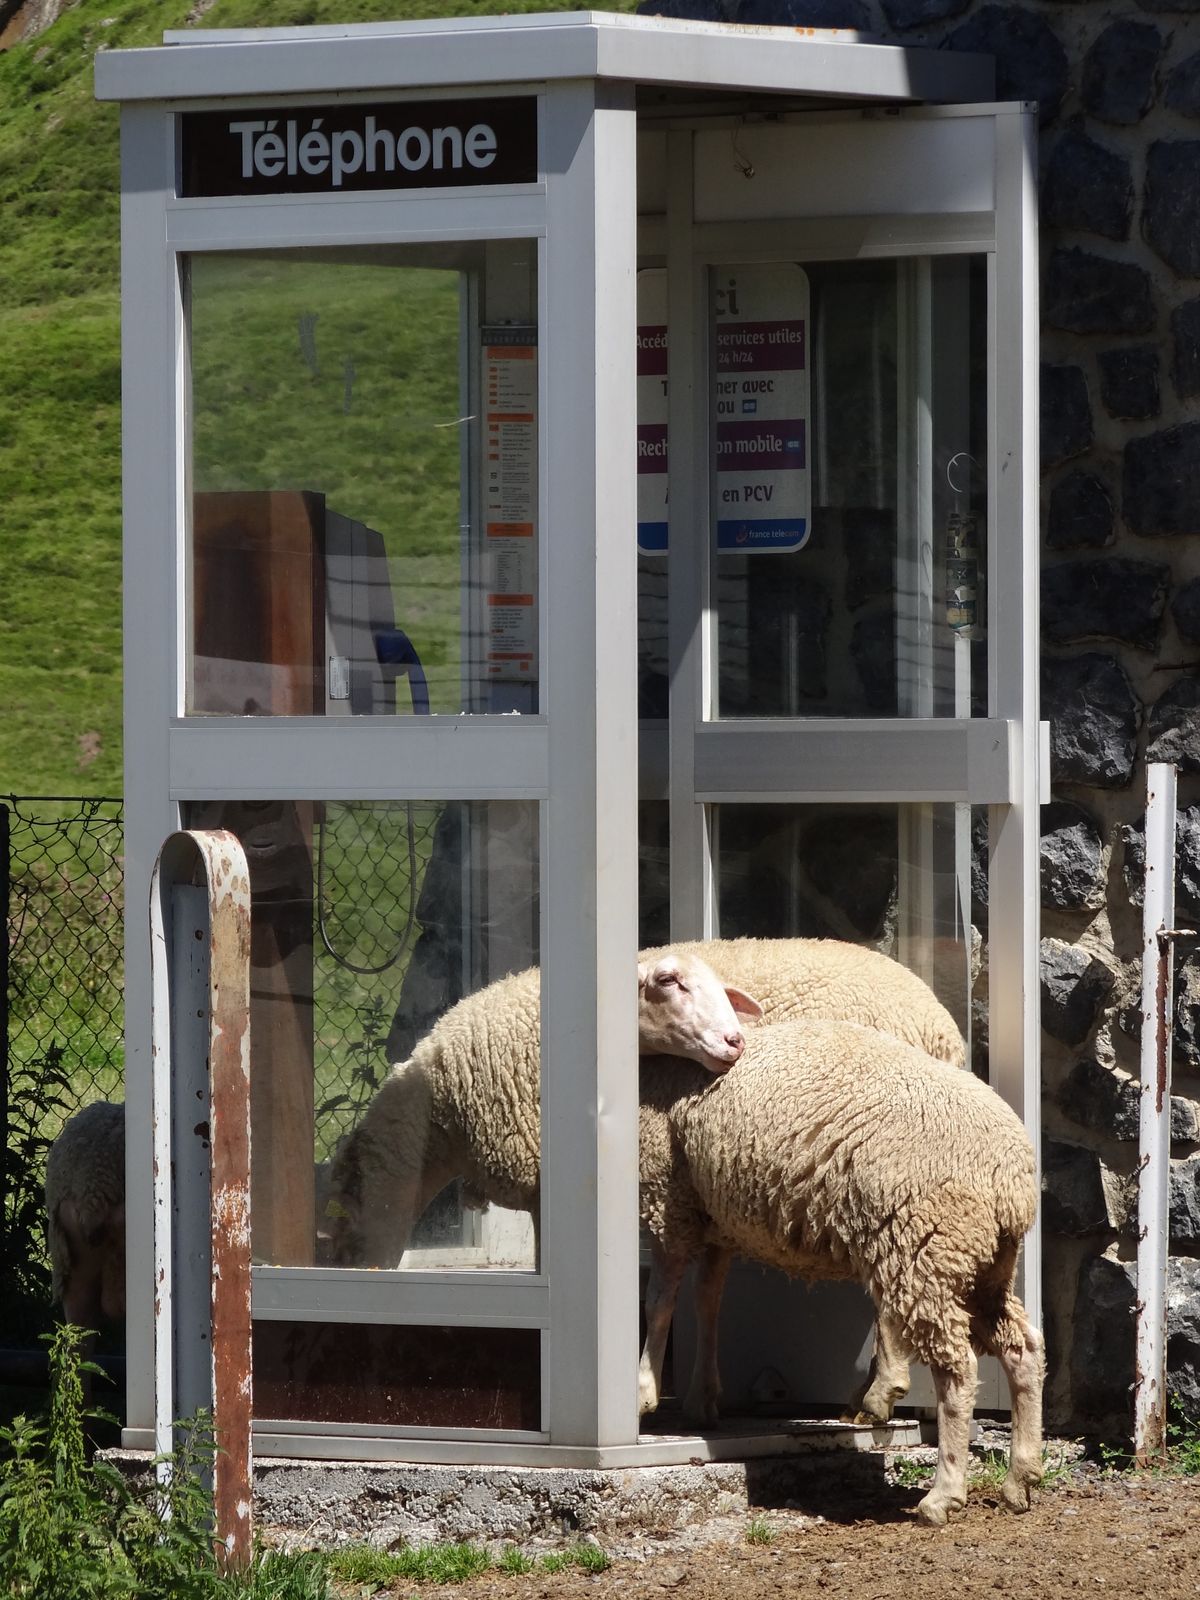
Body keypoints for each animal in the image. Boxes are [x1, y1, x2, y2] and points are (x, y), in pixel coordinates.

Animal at [636, 1020, 1043, 1528]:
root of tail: (1011, 1178)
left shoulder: (669, 1197)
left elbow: (661, 1299)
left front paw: (644, 1392)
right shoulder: (714, 1215)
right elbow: (707, 1299)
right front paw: (701, 1399)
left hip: (927, 1249)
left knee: (957, 1368)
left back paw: (944, 1493)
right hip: (984, 1265)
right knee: (1022, 1348)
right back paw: (1021, 1477)